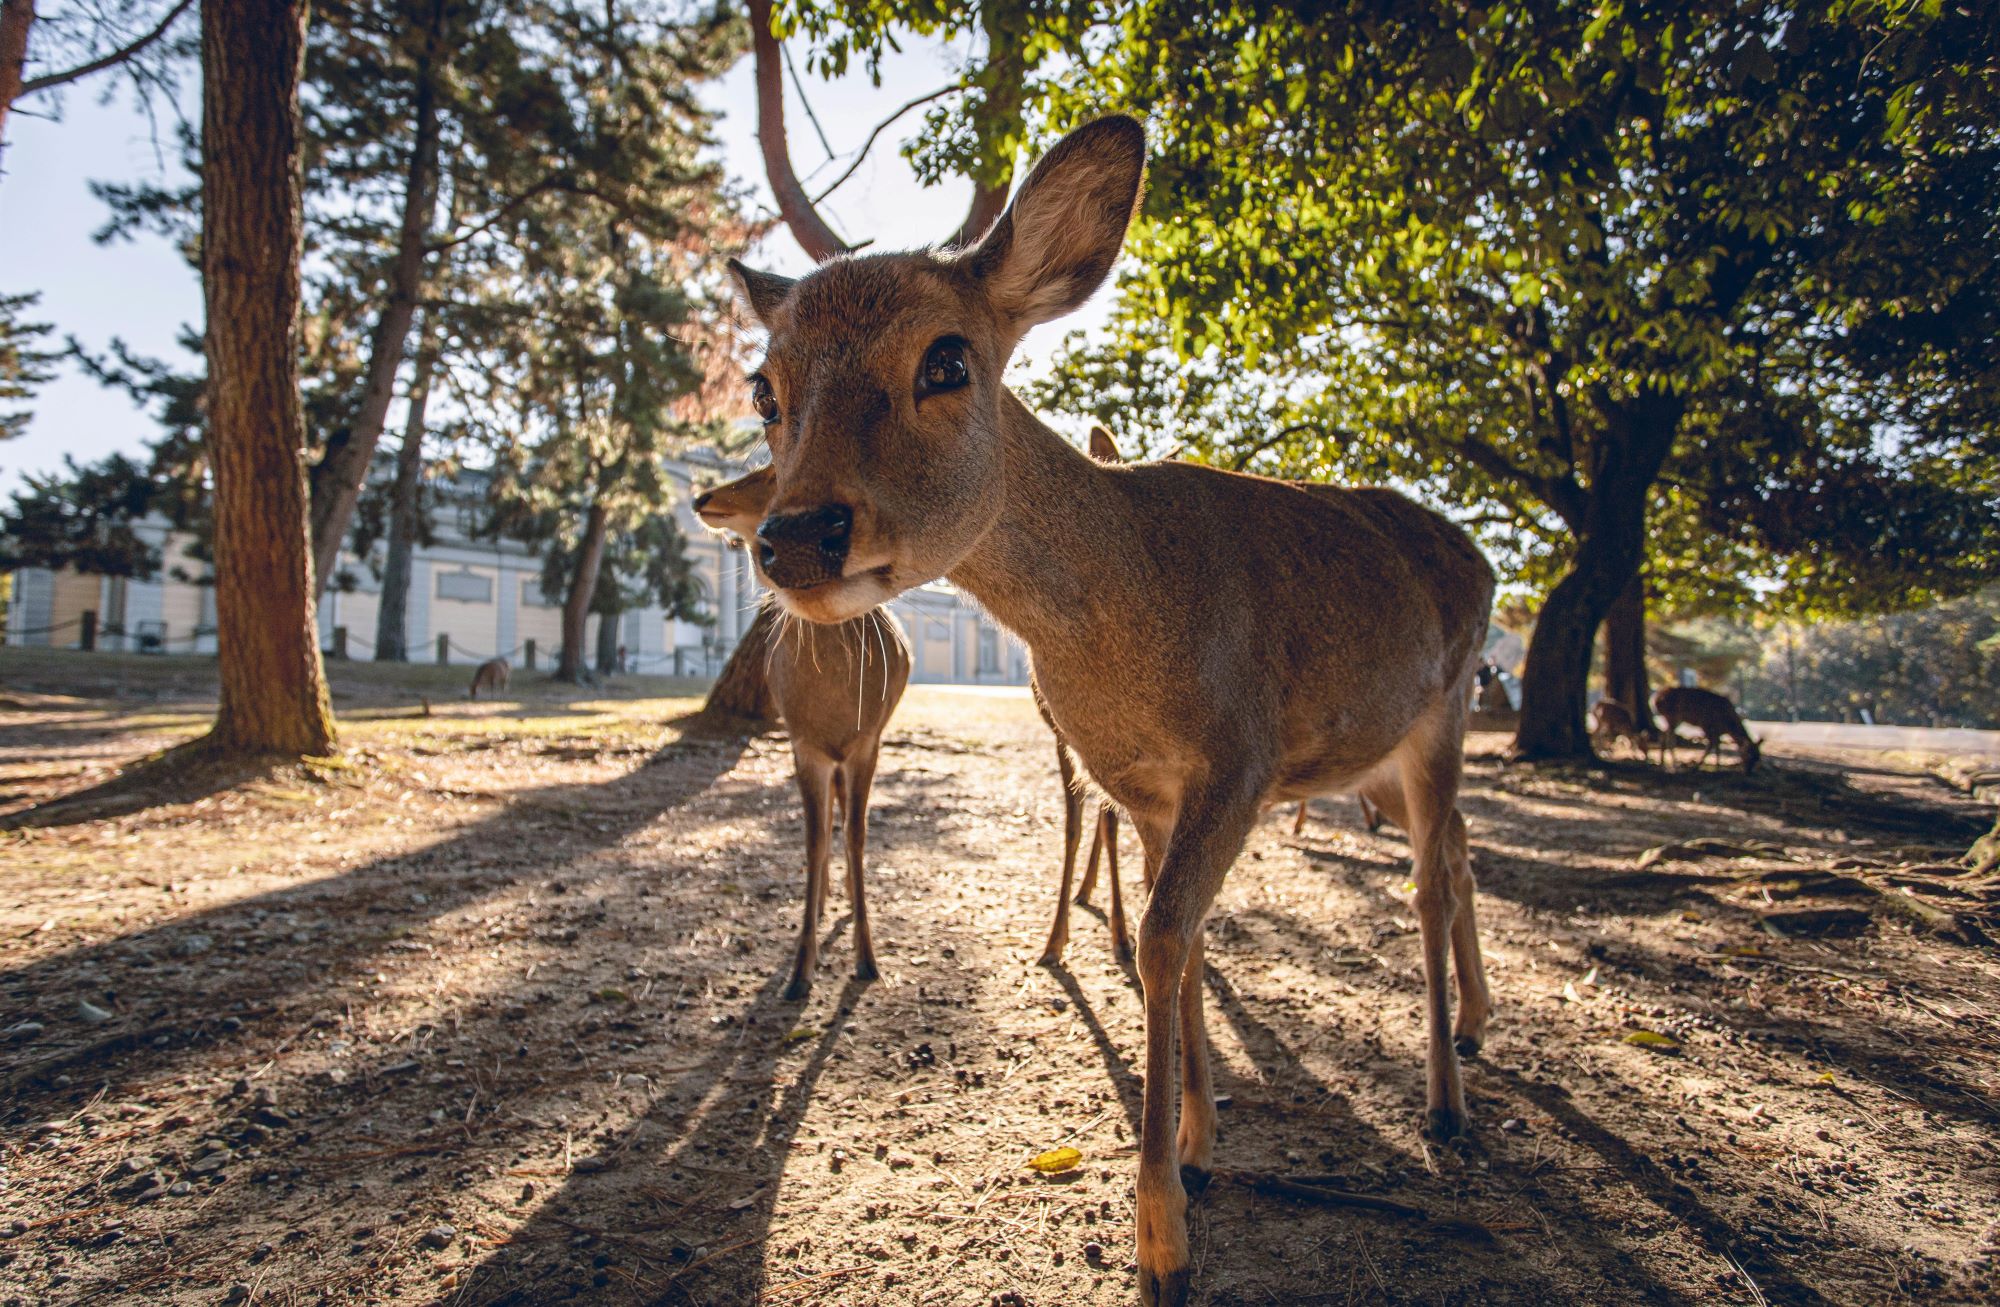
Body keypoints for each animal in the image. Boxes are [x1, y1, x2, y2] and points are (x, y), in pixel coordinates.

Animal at [688, 465, 908, 999]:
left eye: (773, 471)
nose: (702, 497)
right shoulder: (803, 744)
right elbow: (811, 840)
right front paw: (798, 971)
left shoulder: (867, 742)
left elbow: (858, 835)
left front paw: (867, 959)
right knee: (827, 818)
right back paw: (827, 896)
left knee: (843, 816)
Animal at [728, 115, 1496, 1307]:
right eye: (765, 387)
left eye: (946, 358)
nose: (796, 537)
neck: (1126, 634)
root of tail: (1484, 559)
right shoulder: (1136, 782)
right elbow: (1167, 935)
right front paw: (1199, 1144)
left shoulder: (1239, 756)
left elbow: (1165, 934)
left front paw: (1163, 1239)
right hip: (1388, 749)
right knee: (1458, 850)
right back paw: (1473, 1029)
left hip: (1445, 707)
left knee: (1429, 876)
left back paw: (1445, 1103)